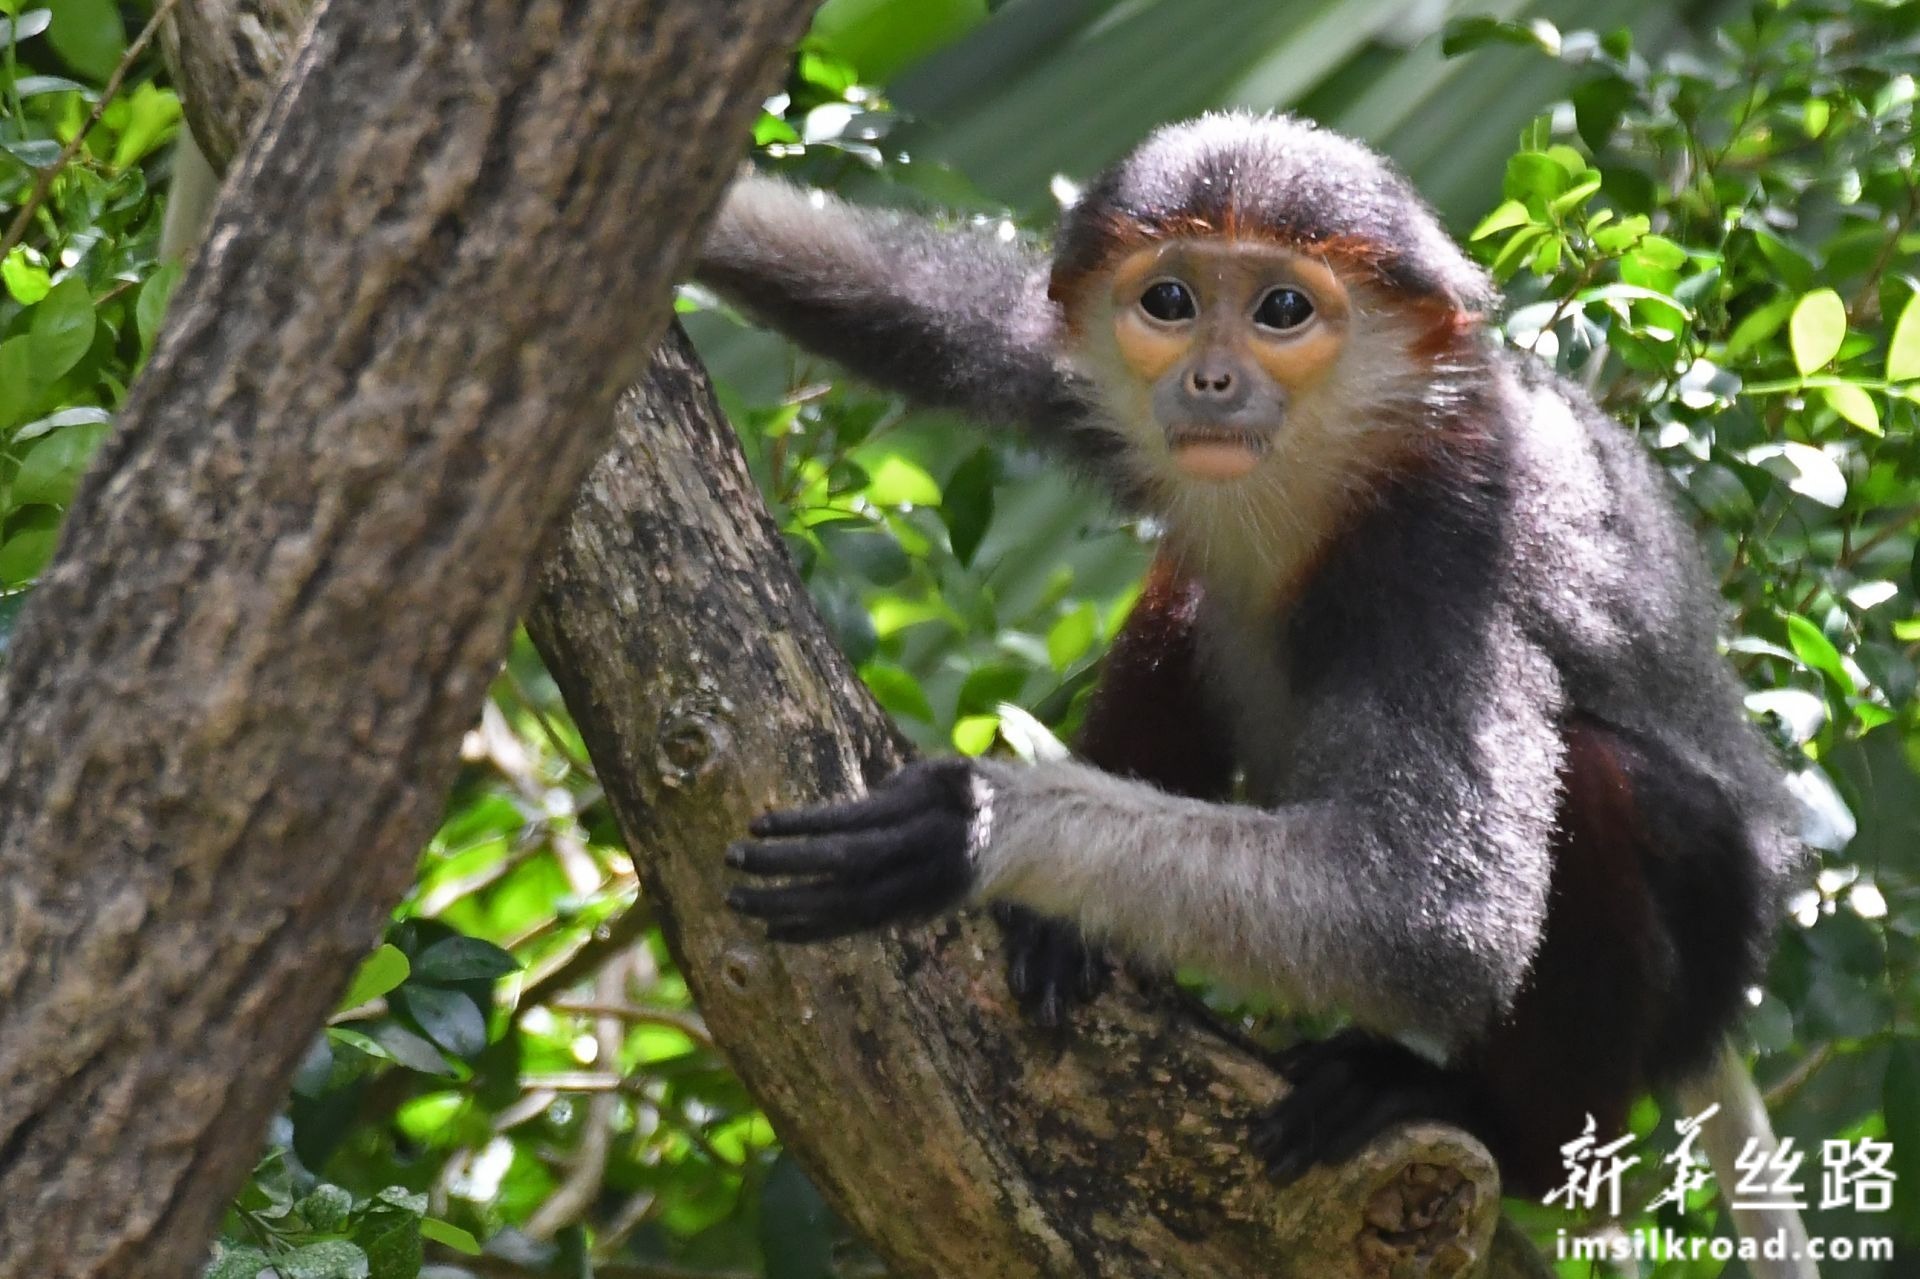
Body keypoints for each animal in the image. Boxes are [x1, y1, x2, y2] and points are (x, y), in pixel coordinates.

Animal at [698, 114, 1804, 1198]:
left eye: (1282, 310)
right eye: (1170, 302)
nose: (1211, 380)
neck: (1322, 474)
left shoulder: (1447, 549)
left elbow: (1438, 916)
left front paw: (972, 822)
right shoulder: (1060, 359)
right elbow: (900, 301)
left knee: (1604, 784)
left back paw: (1492, 1124)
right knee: (1190, 591)